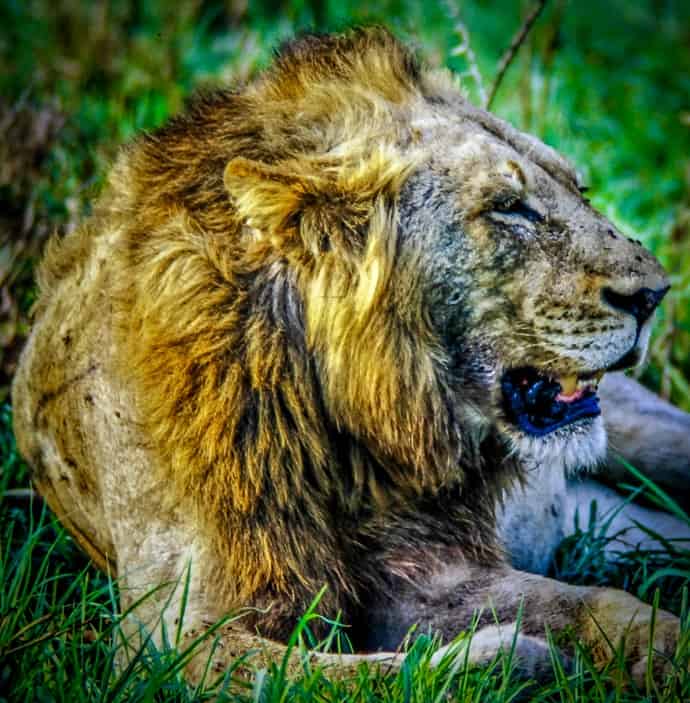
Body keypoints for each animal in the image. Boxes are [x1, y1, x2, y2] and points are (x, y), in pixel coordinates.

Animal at [9, 27, 688, 688]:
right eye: (509, 208)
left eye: (580, 190)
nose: (655, 294)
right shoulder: (174, 635)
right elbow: (339, 677)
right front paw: (526, 662)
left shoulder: (426, 566)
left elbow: (587, 602)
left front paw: (663, 649)